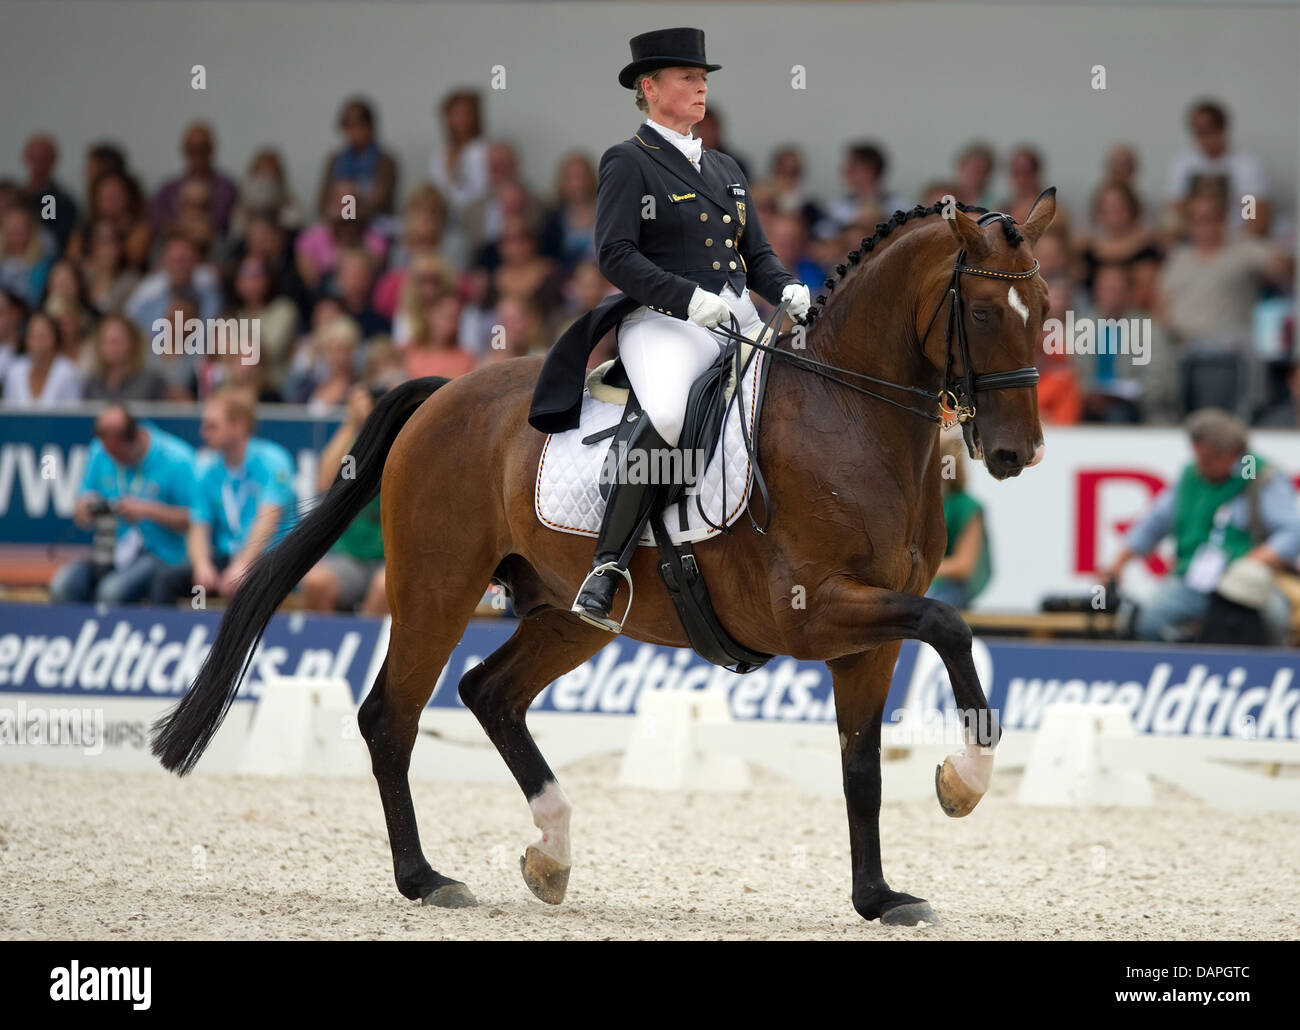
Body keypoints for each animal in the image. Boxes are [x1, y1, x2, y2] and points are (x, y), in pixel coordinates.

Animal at [154, 188, 1055, 931]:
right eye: (981, 312)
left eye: (1044, 306)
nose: (1018, 454)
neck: (854, 417)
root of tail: (443, 392)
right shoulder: (815, 611)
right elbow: (950, 626)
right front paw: (964, 781)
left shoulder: (866, 637)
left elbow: (861, 766)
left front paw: (880, 897)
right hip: (438, 591)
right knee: (391, 716)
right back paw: (426, 879)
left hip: (570, 615)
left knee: (490, 694)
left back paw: (550, 853)